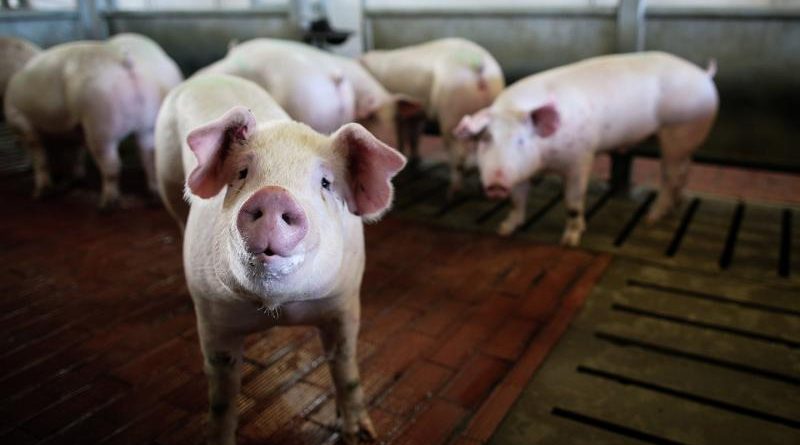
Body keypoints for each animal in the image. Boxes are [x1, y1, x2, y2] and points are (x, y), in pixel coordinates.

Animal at [4, 33, 182, 208]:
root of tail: (125, 62)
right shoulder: (75, 129)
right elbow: (76, 151)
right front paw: (74, 179)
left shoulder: (19, 119)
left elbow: (39, 156)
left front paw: (40, 193)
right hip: (146, 124)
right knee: (148, 156)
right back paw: (154, 195)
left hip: (101, 121)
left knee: (112, 166)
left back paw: (106, 205)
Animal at [154, 73, 406, 445]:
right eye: (242, 173)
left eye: (326, 183)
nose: (274, 195)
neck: (279, 309)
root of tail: (207, 76)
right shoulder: (213, 314)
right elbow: (222, 392)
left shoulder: (344, 300)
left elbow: (345, 365)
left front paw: (361, 435)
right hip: (167, 178)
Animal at [360, 37, 505, 196]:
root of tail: (479, 66)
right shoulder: (416, 115)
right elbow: (414, 136)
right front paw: (414, 159)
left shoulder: (401, 116)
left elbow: (402, 135)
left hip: (451, 116)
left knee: (458, 156)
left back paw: (452, 192)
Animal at [454, 52, 719, 246]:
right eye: (486, 139)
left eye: (521, 141)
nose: (496, 183)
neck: (546, 162)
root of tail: (704, 75)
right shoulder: (521, 172)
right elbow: (517, 200)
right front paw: (504, 229)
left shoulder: (580, 158)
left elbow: (573, 202)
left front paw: (570, 241)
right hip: (686, 138)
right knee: (684, 169)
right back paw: (677, 204)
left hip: (679, 129)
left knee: (670, 175)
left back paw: (652, 219)